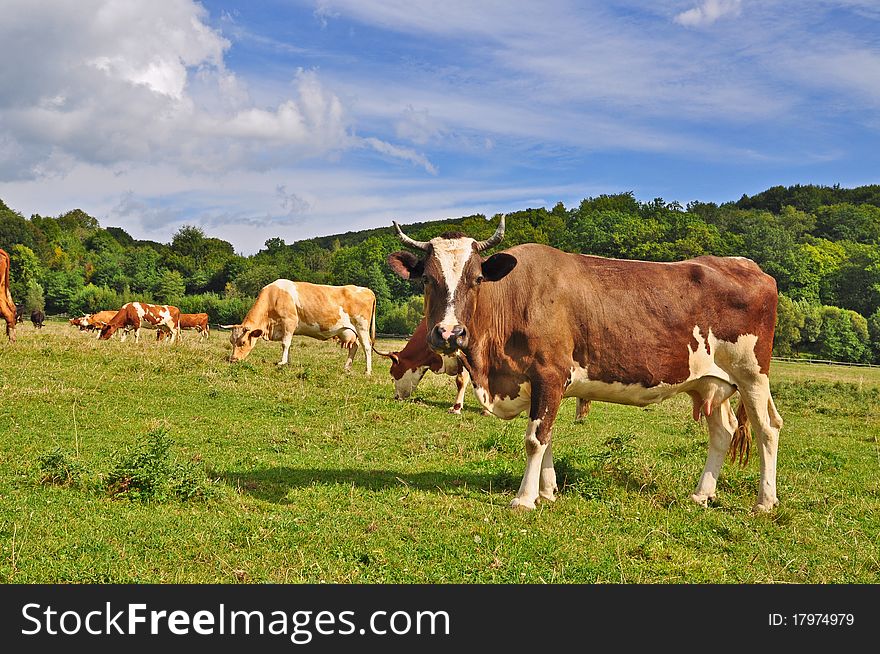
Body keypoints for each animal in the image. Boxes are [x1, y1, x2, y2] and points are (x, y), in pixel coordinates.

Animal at [223, 280, 374, 376]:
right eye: (231, 341)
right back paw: (347, 367)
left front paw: (282, 362)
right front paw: (288, 362)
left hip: (361, 327)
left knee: (367, 347)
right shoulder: (287, 328)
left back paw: (367, 371)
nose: (233, 360)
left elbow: (285, 344)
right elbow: (288, 344)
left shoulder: (289, 322)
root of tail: (367, 290)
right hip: (349, 331)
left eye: (242, 342)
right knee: (354, 347)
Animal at [392, 218, 784, 516]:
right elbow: (547, 436)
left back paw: (765, 502)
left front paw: (524, 498)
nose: (449, 332)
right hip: (711, 382)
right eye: (427, 279)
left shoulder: (549, 374)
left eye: (475, 279)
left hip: (752, 373)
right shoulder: (540, 383)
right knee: (723, 431)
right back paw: (702, 494)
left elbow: (535, 439)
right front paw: (547, 491)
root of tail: (747, 265)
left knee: (767, 428)